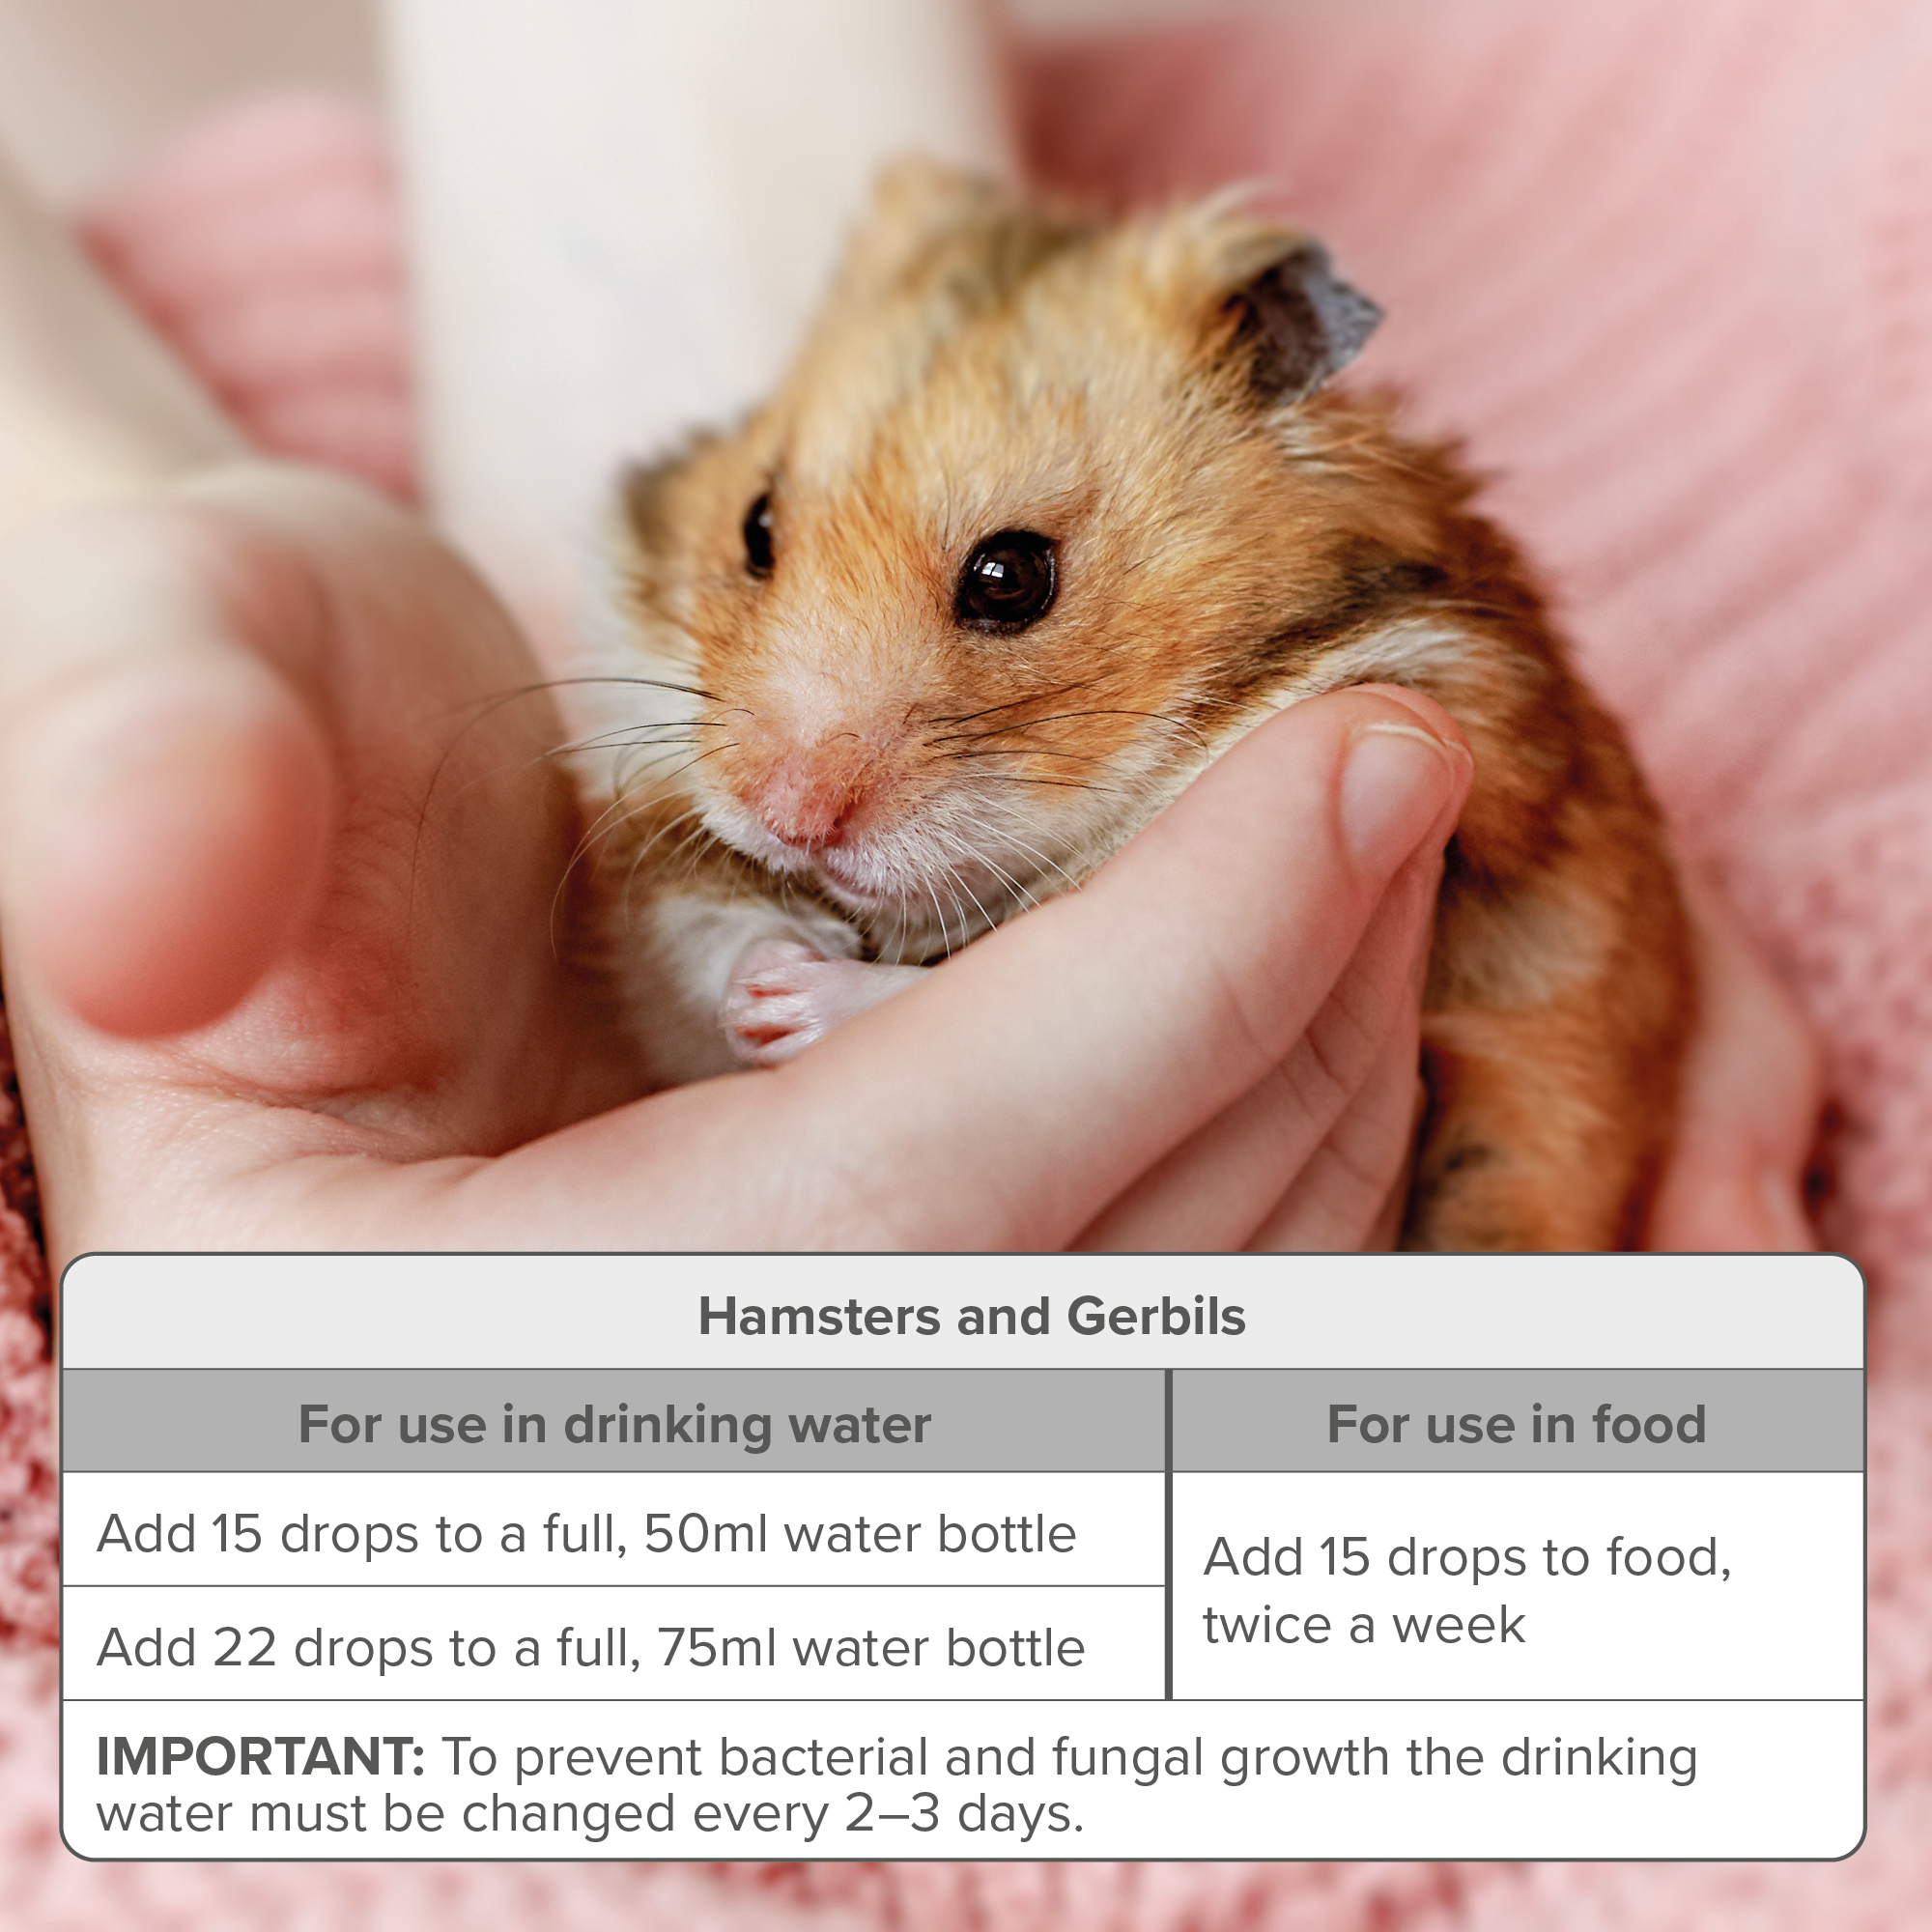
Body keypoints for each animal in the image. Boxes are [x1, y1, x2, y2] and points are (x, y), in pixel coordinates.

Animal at [582, 159, 1693, 1251]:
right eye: (756, 528)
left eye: (1010, 577)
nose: (787, 820)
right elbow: (696, 923)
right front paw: (760, 981)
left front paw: (783, 1003)